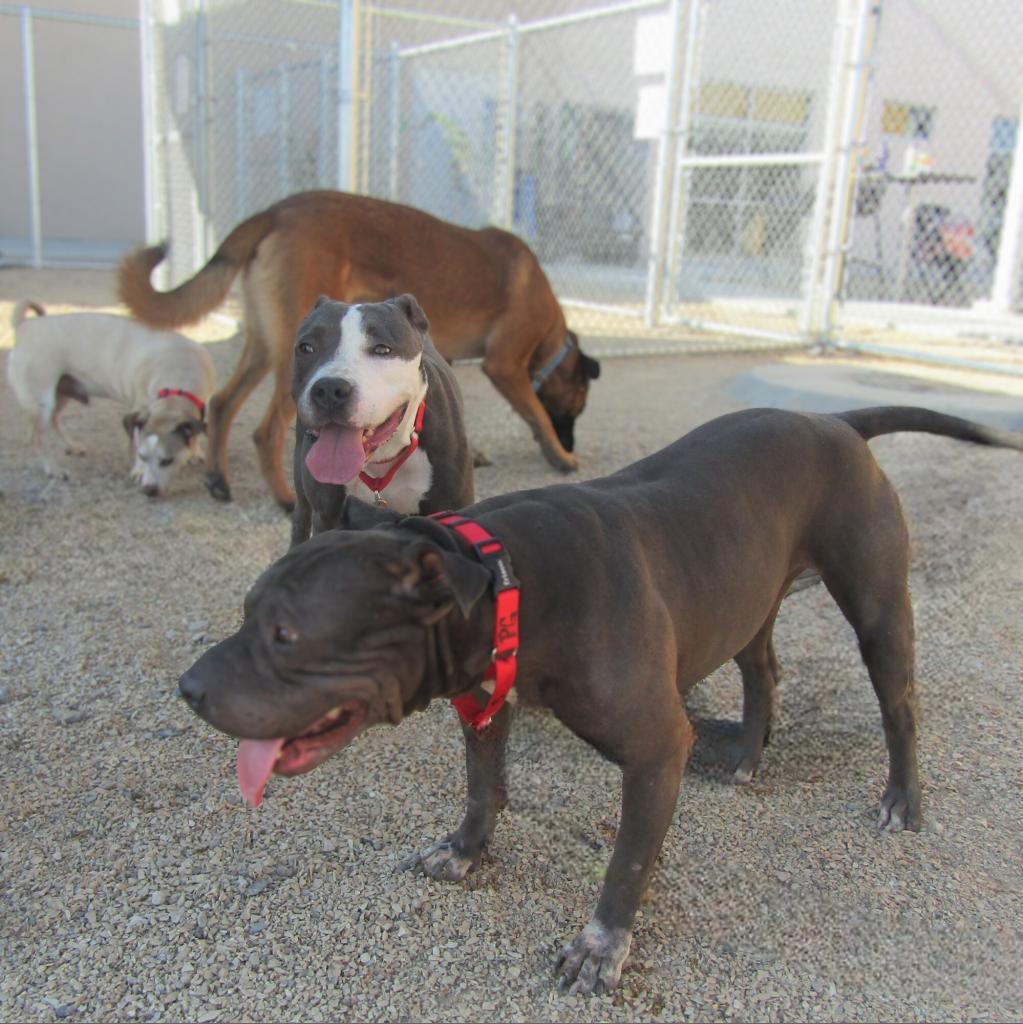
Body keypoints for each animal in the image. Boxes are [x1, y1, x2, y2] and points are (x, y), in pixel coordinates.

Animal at [6, 299, 216, 495]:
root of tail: (24, 326)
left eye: (167, 461)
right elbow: (136, 440)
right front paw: (138, 471)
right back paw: (54, 469)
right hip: (42, 402)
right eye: (143, 456)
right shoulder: (139, 411)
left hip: (61, 393)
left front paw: (195, 451)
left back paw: (72, 446)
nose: (148, 490)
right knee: (36, 436)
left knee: (54, 420)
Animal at [118, 189, 598, 507]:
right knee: (266, 430)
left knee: (222, 402)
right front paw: (560, 454)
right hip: (290, 356)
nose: (571, 438)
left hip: (263, 343)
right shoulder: (503, 366)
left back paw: (219, 480)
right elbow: (535, 413)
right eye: (577, 404)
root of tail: (274, 211)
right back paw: (285, 497)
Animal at [178, 405, 1023, 991]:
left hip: (876, 607)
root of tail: (835, 420)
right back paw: (746, 756)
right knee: (762, 672)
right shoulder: (484, 705)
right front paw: (466, 851)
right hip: (745, 598)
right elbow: (482, 791)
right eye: (248, 610)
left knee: (899, 706)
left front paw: (600, 946)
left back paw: (901, 799)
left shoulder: (654, 750)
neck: (508, 579)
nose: (186, 688)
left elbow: (626, 863)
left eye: (285, 633)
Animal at [288, 292, 475, 548]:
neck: (383, 458)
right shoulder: (327, 517)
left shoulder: (454, 503)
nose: (329, 389)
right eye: (306, 347)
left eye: (383, 349)